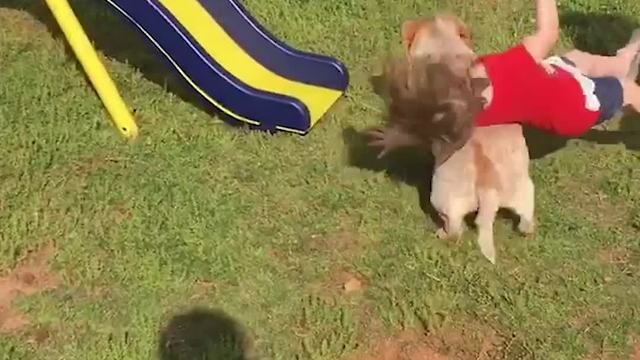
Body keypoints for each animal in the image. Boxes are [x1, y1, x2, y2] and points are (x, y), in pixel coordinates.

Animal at [370, 15, 536, 262]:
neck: (445, 49)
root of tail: (488, 185)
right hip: (523, 191)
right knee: (527, 219)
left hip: (443, 199)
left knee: (456, 229)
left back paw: (441, 233)